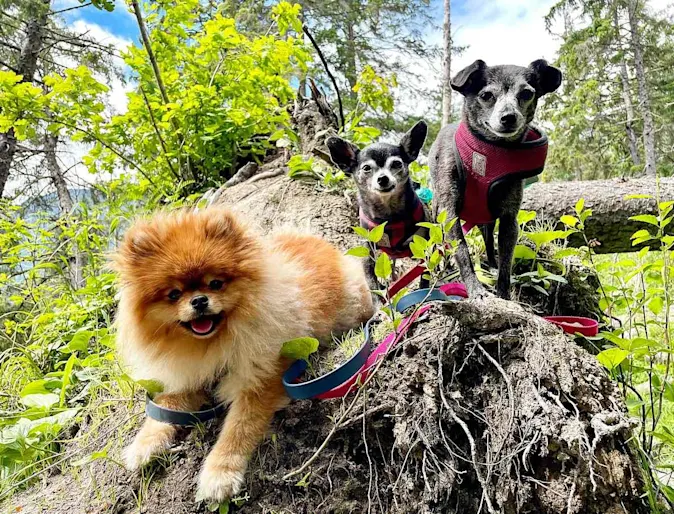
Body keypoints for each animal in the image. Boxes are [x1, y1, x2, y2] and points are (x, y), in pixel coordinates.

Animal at [111, 205, 372, 500]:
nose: (199, 301)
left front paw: (220, 474)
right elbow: (165, 407)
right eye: (174, 294)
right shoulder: (187, 375)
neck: (212, 345)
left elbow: (239, 427)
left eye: (215, 283)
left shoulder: (261, 376)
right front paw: (143, 445)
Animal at [324, 119, 426, 288]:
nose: (383, 178)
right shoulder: (367, 250)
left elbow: (426, 271)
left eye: (396, 164)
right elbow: (371, 278)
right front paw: (378, 293)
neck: (389, 216)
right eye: (366, 168)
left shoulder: (423, 243)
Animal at [428, 58, 560, 298]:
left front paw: (504, 293)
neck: (489, 151)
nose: (508, 117)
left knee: (489, 243)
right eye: (486, 95)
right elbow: (461, 249)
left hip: (486, 220)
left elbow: (506, 261)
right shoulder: (449, 212)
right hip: (436, 217)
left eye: (526, 93)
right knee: (437, 246)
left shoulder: (508, 219)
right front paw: (474, 288)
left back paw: (490, 264)